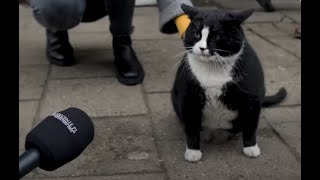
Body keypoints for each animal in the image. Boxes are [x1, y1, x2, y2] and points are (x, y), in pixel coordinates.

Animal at [171, 4, 286, 162]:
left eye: (217, 36)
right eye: (196, 34)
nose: (202, 48)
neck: (213, 69)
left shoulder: (252, 96)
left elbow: (250, 125)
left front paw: (251, 148)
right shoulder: (189, 97)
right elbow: (191, 126)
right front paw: (193, 152)